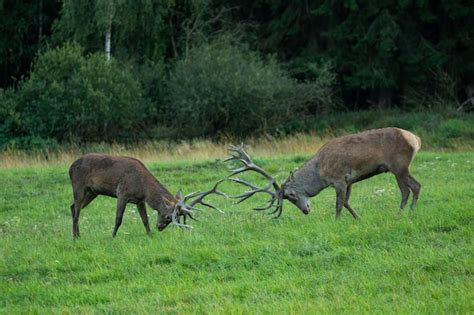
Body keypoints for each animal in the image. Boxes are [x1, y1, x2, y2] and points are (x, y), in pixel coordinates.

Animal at [69, 154, 227, 239]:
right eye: (169, 217)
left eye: (175, 218)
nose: (160, 227)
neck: (143, 187)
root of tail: (70, 168)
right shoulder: (122, 193)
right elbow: (118, 219)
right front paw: (112, 236)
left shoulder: (139, 200)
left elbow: (145, 220)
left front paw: (150, 235)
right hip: (79, 186)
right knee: (76, 211)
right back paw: (75, 237)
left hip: (93, 191)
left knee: (73, 207)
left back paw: (77, 235)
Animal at [227, 128, 422, 220]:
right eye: (288, 199)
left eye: (291, 194)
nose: (305, 210)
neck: (320, 172)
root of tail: (416, 139)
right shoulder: (349, 181)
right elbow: (347, 202)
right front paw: (359, 218)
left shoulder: (338, 179)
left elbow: (339, 204)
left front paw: (337, 221)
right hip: (399, 168)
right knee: (411, 188)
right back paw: (406, 212)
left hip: (399, 166)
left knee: (411, 187)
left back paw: (405, 213)